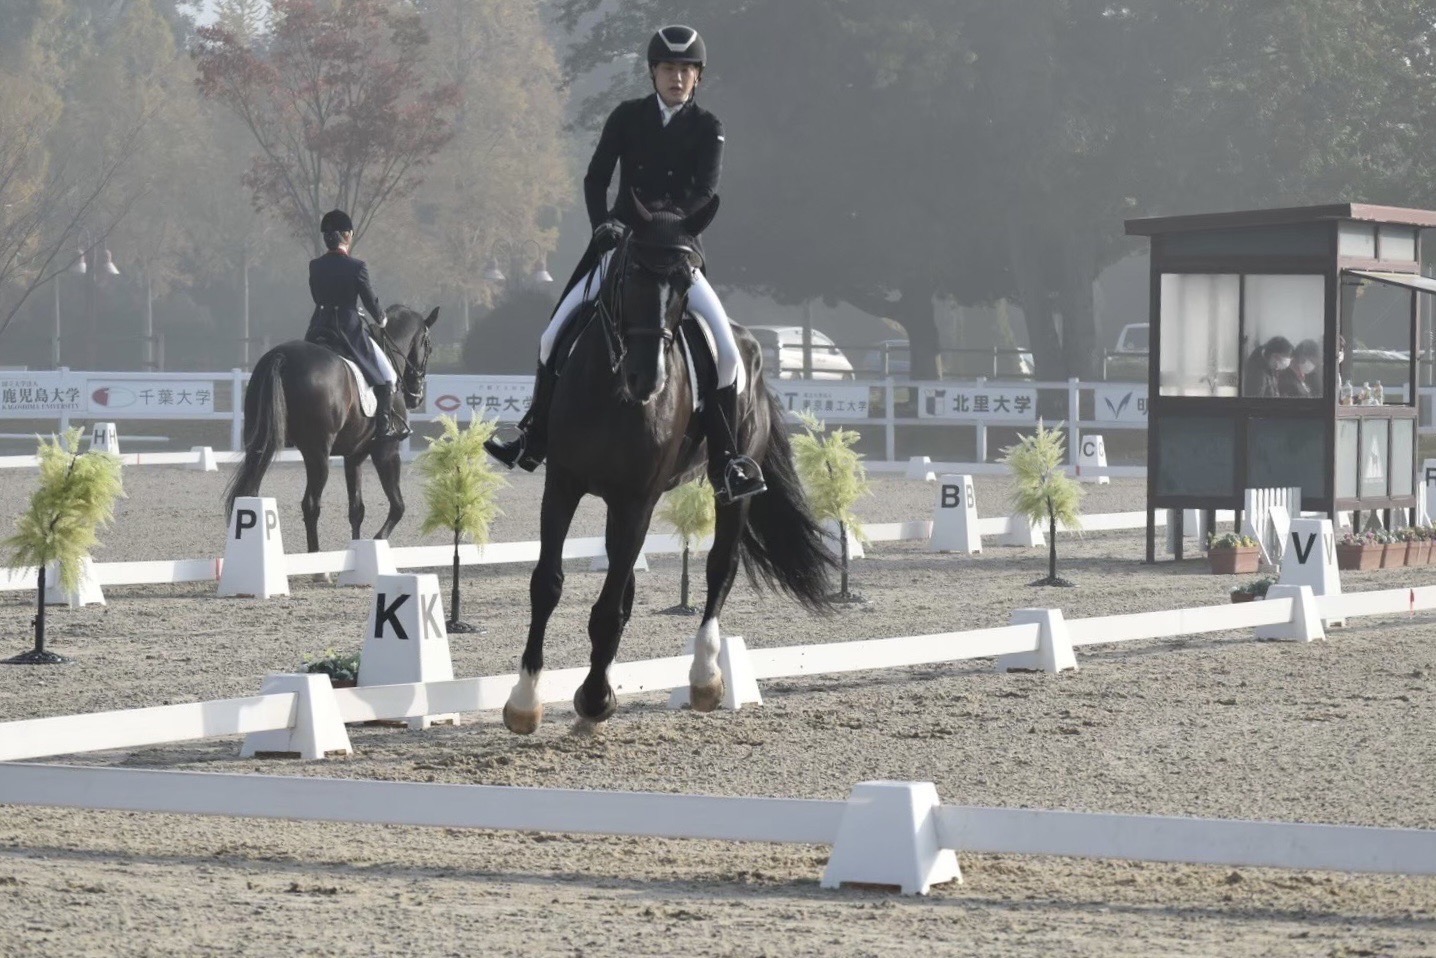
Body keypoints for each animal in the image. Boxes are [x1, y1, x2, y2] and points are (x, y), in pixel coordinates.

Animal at [222, 303, 436, 551]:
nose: (416, 397)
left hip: (260, 445)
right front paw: (376, 542)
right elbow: (398, 506)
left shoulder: (354, 456)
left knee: (250, 492)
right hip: (317, 453)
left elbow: (357, 510)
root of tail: (282, 356)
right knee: (311, 504)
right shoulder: (386, 450)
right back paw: (315, 555)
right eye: (428, 346)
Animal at [505, 201, 838, 735]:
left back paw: (704, 677)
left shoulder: (639, 498)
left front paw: (593, 698)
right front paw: (527, 699)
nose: (647, 377)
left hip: (729, 489)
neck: (614, 393)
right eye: (629, 274)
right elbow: (548, 584)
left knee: (720, 567)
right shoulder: (564, 484)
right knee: (627, 585)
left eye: (685, 282)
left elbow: (607, 606)